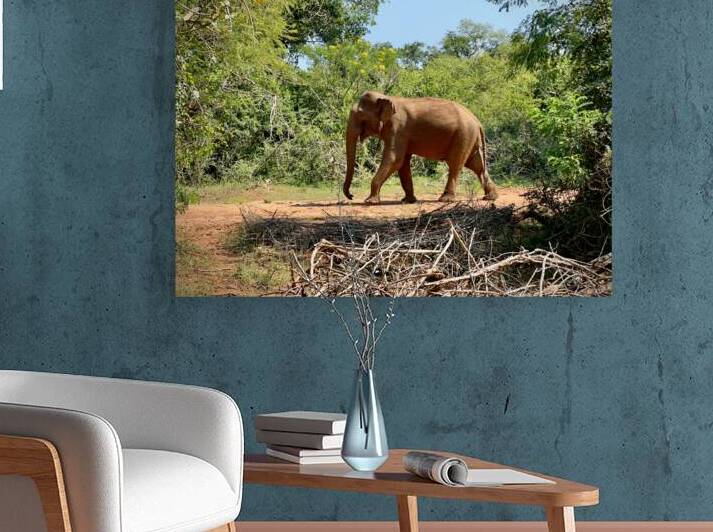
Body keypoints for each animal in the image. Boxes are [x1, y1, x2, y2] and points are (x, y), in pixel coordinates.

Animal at [343, 91, 498, 204]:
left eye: (360, 114)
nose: (351, 195)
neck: (388, 97)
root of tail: (478, 122)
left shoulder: (398, 128)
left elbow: (394, 159)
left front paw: (370, 201)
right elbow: (403, 163)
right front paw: (408, 201)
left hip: (463, 136)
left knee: (455, 164)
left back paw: (445, 199)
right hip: (469, 138)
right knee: (477, 165)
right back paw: (490, 197)